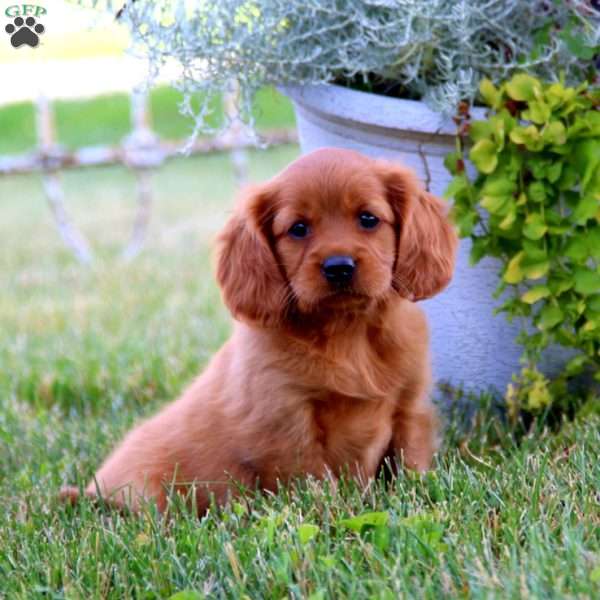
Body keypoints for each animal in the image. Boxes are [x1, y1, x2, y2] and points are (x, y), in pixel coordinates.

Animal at [61, 148, 458, 512]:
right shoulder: (286, 423)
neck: (348, 332)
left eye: (368, 219)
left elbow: (411, 460)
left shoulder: (410, 405)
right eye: (298, 228)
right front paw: (333, 516)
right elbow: (314, 482)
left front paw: (420, 497)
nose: (339, 267)